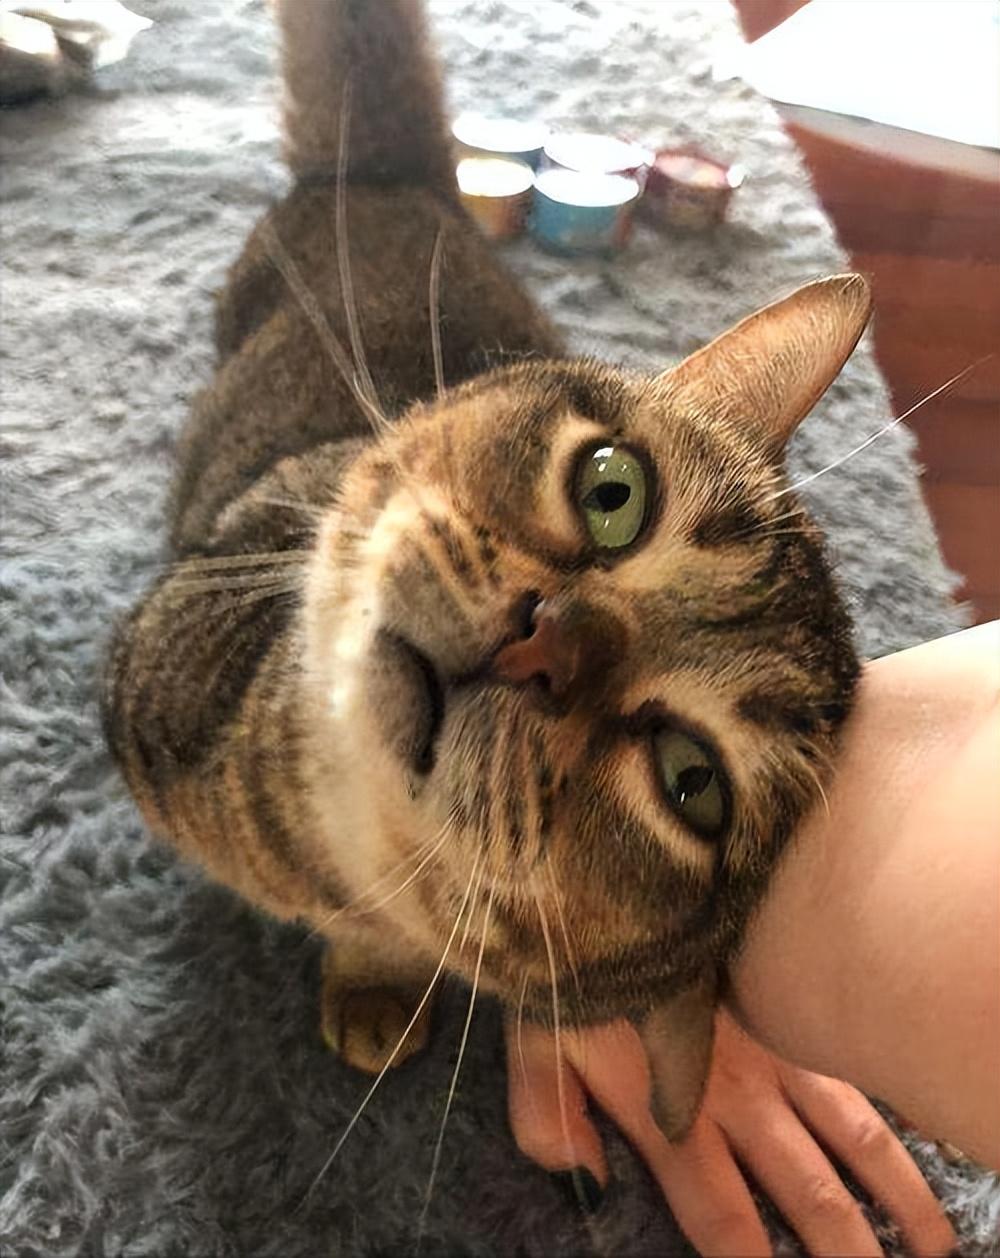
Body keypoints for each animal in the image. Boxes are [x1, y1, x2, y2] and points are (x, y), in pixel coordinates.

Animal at [103, 0, 869, 1139]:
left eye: (692, 782)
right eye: (613, 491)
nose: (544, 639)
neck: (315, 848)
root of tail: (393, 182)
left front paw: (372, 983)